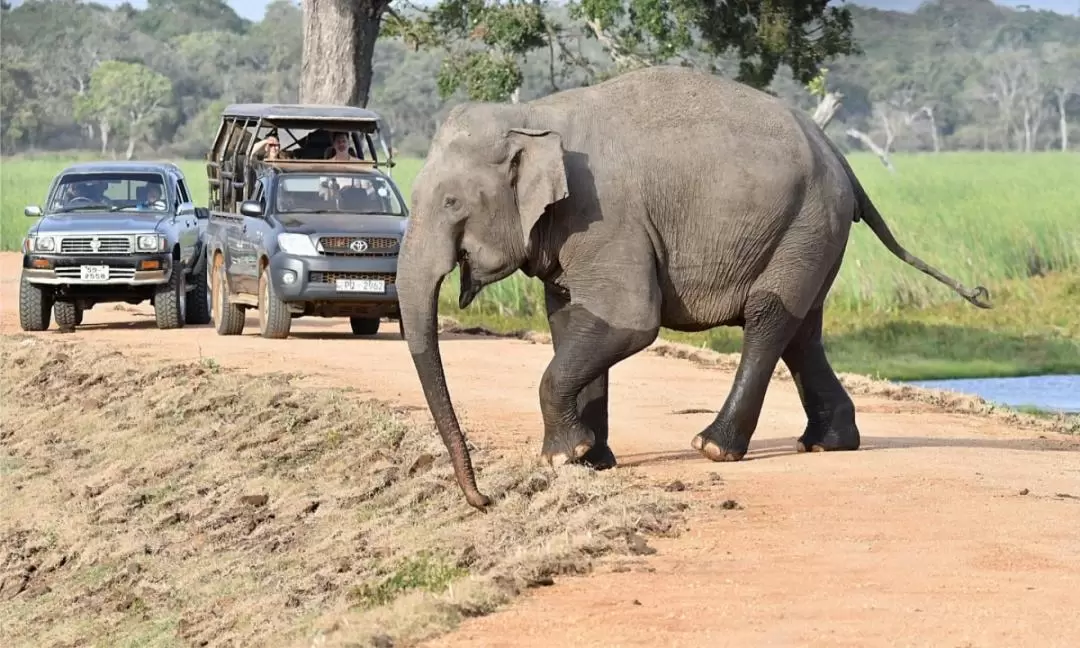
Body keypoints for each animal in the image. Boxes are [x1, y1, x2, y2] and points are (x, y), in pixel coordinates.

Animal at [393, 65, 989, 511]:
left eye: (451, 202)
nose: (484, 500)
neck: (532, 117)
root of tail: (839, 155)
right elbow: (570, 320)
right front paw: (590, 460)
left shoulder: (605, 217)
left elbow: (632, 321)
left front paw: (565, 457)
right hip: (813, 234)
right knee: (803, 329)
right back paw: (828, 443)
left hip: (807, 221)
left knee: (769, 318)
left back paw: (714, 447)